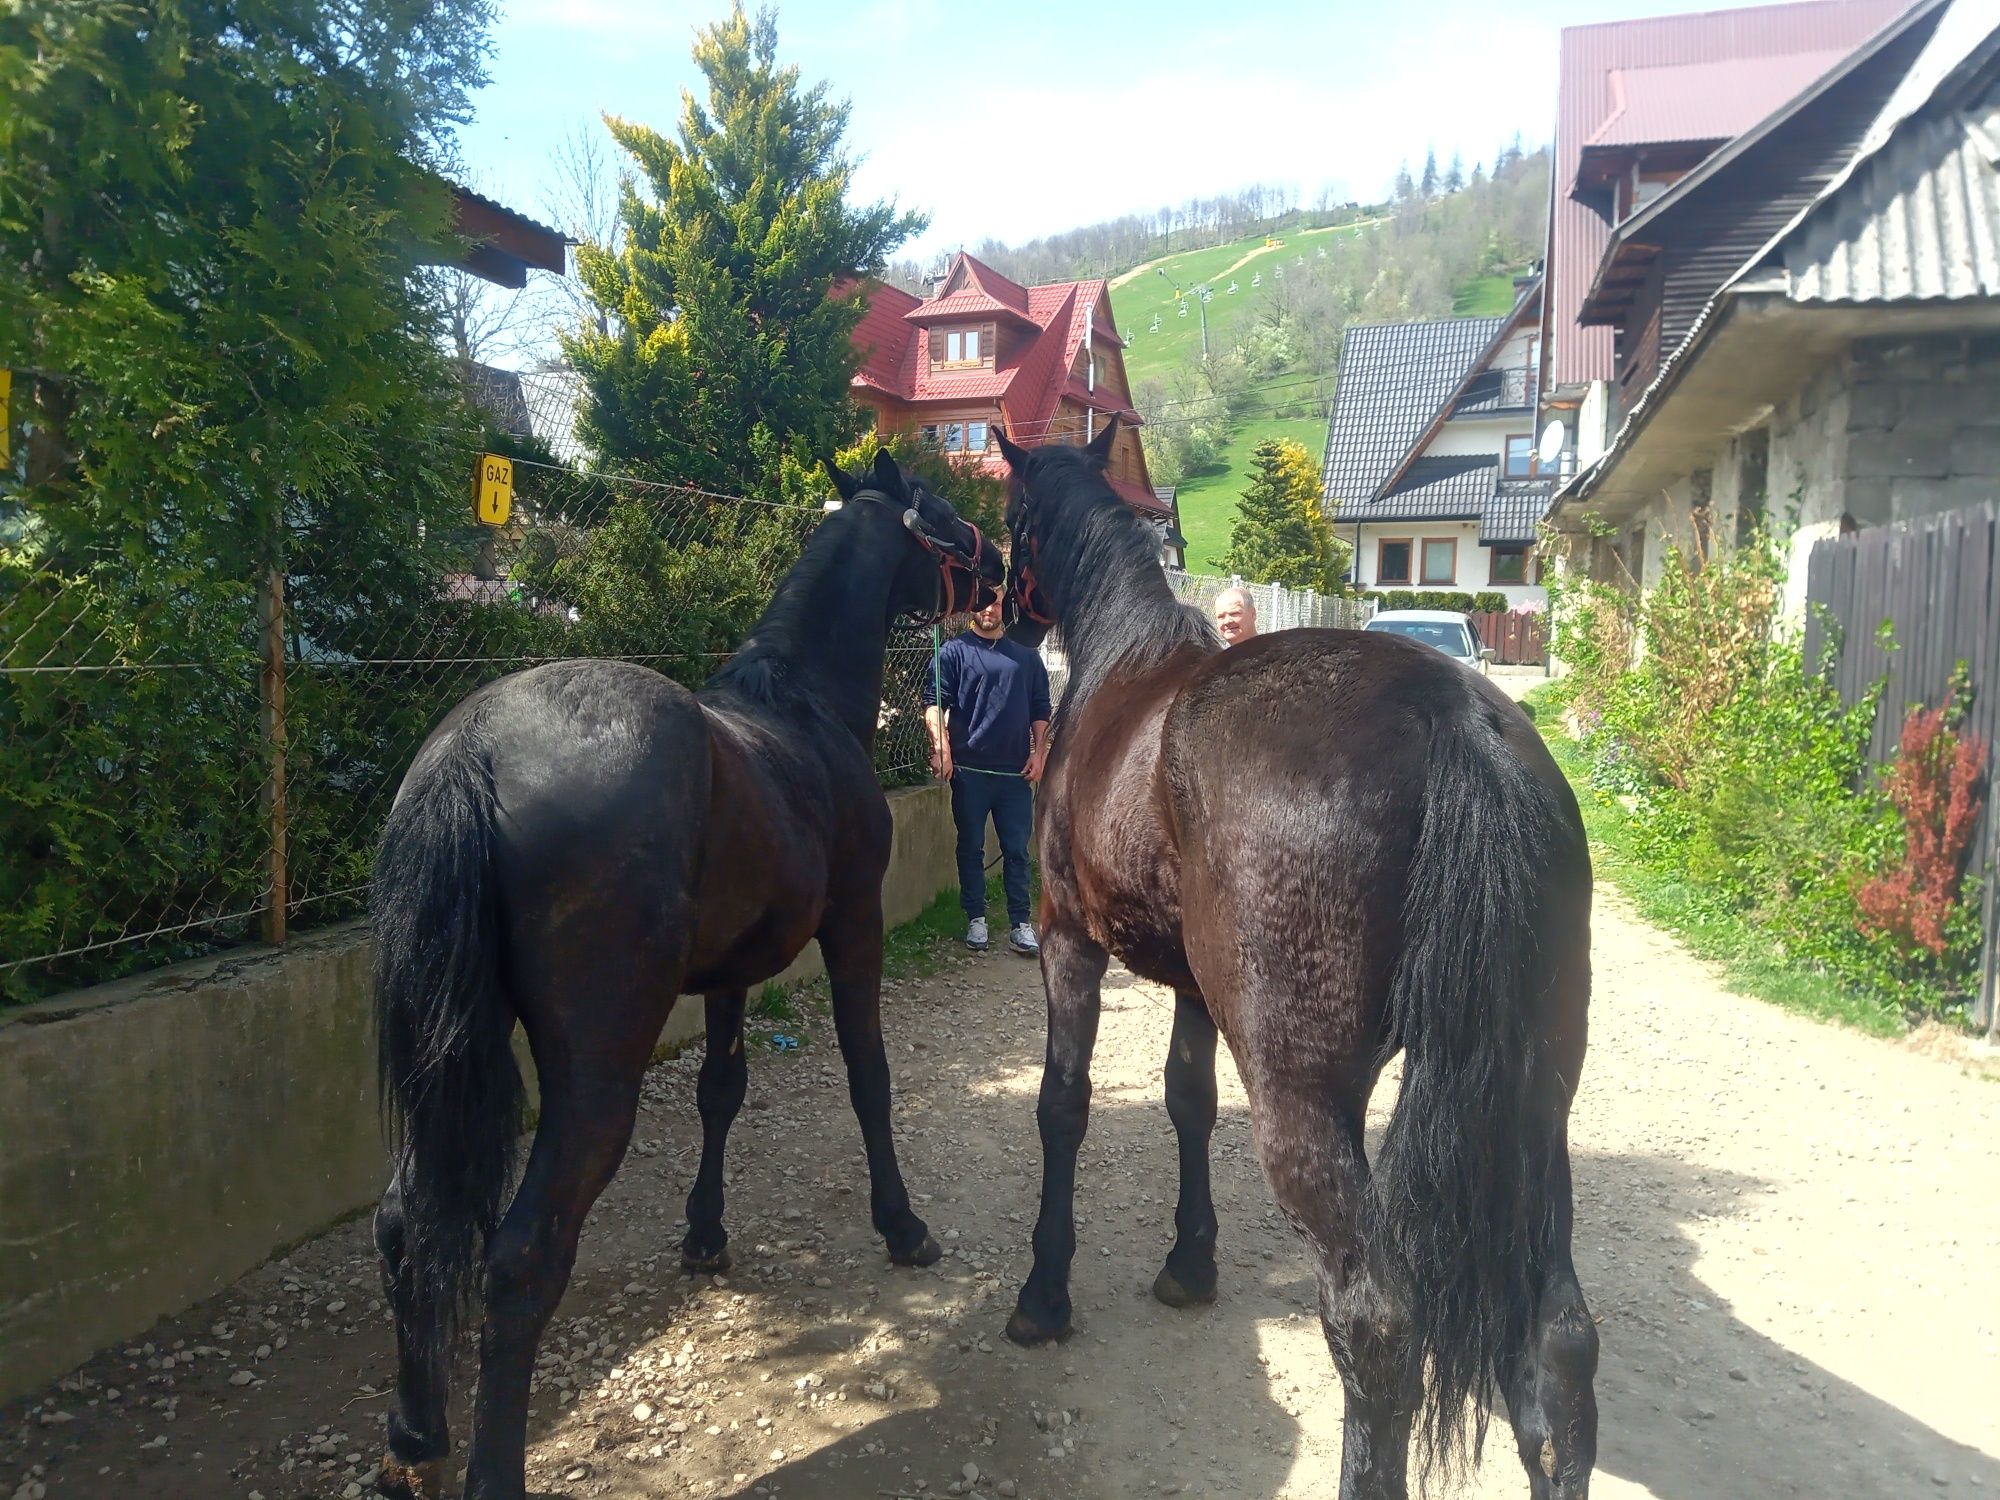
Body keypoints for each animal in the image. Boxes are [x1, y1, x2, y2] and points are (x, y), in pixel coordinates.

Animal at [366, 452, 1000, 1496]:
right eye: (943, 516)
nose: (997, 575)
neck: (801, 708)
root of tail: (474, 748)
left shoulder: (732, 974)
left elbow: (721, 1091)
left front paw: (706, 1234)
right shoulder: (854, 927)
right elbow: (869, 1076)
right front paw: (902, 1225)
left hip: (441, 1064)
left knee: (401, 1220)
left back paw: (415, 1434)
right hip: (596, 1074)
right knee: (522, 1255)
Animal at [992, 426, 1600, 1500]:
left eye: (1015, 515)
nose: (994, 604)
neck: (1123, 668)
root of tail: (1451, 711)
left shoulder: (1069, 944)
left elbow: (1062, 1105)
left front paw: (1044, 1293)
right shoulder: (1194, 989)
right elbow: (1186, 1100)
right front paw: (1190, 1265)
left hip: (1306, 1100)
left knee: (1379, 1326)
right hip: (1537, 1109)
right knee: (1562, 1343)